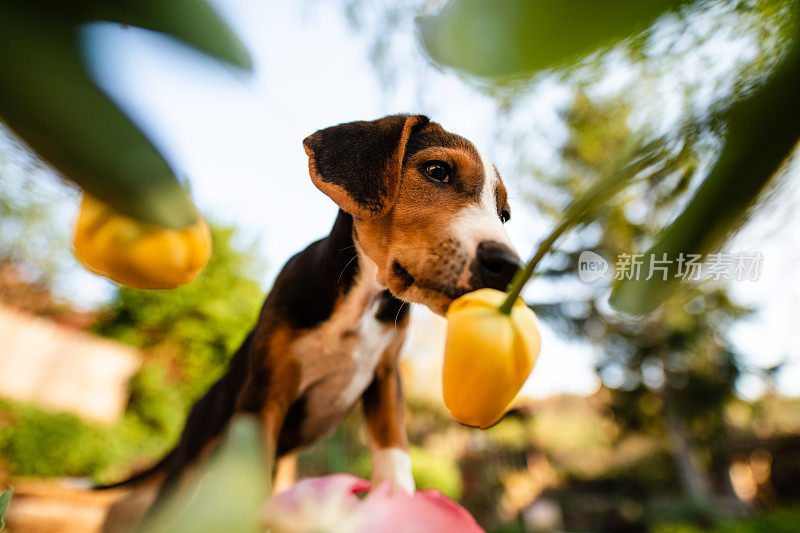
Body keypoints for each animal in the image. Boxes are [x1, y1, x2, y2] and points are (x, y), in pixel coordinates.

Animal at [101, 114, 520, 524]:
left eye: (504, 216)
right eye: (437, 171)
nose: (509, 267)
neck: (360, 302)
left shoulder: (385, 378)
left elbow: (394, 452)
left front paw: (400, 505)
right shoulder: (265, 395)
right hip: (193, 458)